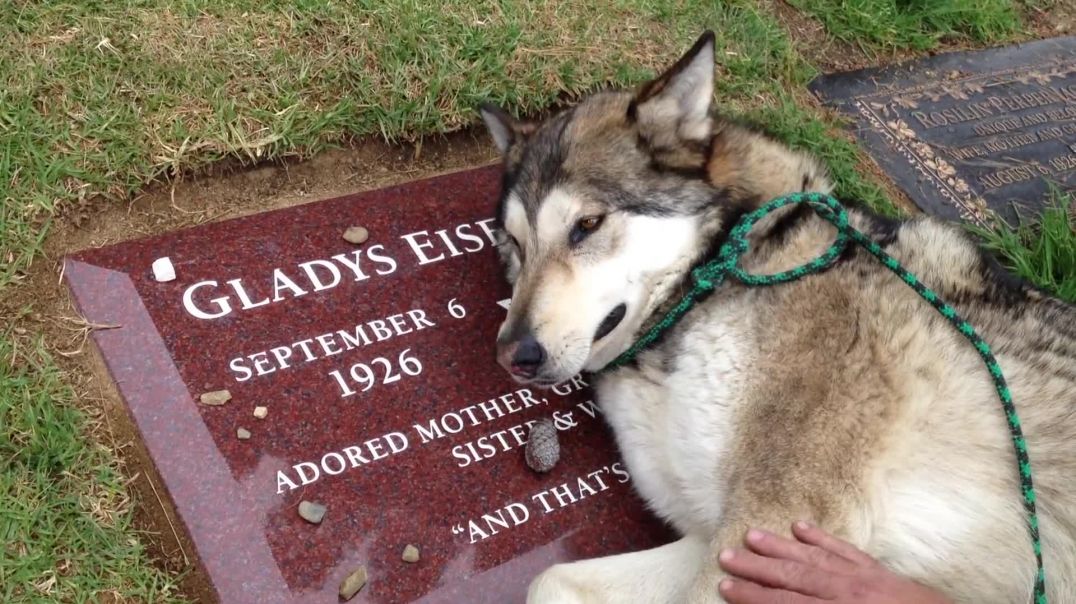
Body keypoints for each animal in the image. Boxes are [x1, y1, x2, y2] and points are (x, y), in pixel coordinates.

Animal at [479, 30, 1076, 598]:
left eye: (587, 225)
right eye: (514, 243)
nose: (513, 355)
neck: (719, 278)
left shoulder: (770, 528)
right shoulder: (719, 541)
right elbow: (550, 579)